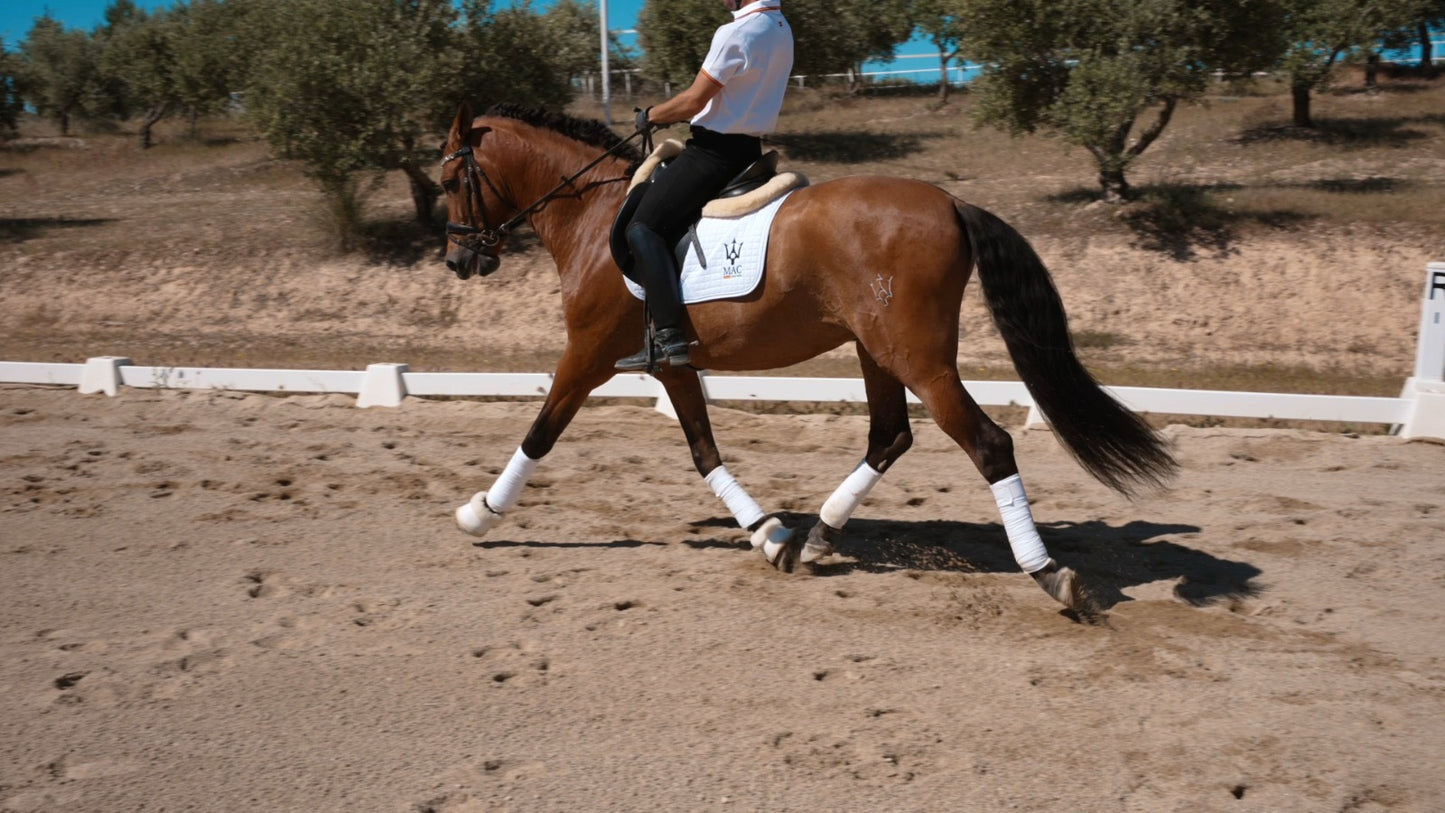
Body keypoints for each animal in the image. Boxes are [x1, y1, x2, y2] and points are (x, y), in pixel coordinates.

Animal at [439, 102, 1177, 612]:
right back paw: (816, 537)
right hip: (877, 350)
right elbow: (704, 451)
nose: (456, 259)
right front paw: (768, 534)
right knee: (890, 435)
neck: (593, 217)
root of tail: (949, 201)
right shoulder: (671, 362)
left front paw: (480, 512)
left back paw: (1047, 574)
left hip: (917, 358)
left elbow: (539, 433)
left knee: (987, 443)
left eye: (448, 177)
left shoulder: (588, 353)